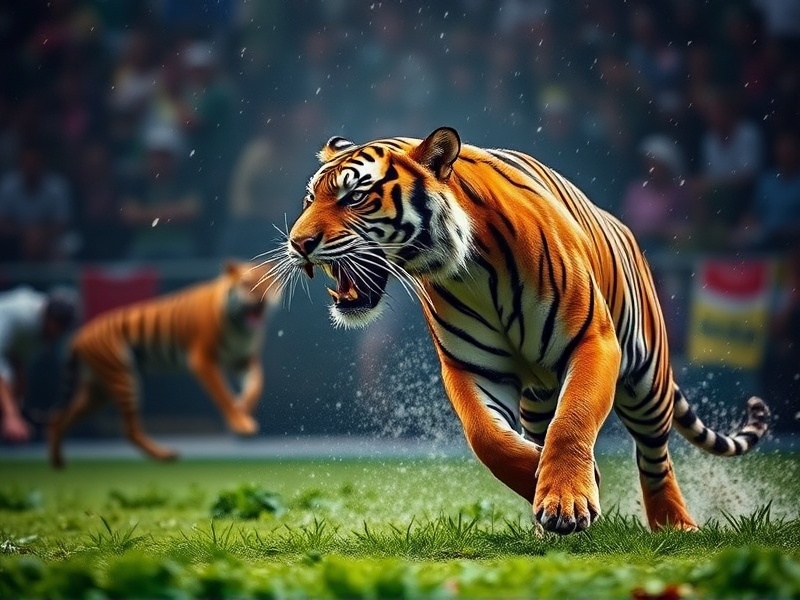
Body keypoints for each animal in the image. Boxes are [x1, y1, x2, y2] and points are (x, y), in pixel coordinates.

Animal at [48, 261, 280, 468]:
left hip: (97, 391)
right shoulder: (202, 360)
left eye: (268, 282)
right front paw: (240, 423)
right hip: (122, 378)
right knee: (128, 430)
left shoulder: (243, 361)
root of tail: (79, 336)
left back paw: (58, 462)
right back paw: (165, 455)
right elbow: (222, 393)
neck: (240, 327)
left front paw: (244, 408)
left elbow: (256, 385)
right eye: (246, 283)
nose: (260, 299)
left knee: (59, 418)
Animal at [277, 127, 770, 534]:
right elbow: (489, 438)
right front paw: (563, 486)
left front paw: (568, 500)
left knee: (654, 457)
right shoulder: (471, 367)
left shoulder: (593, 340)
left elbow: (573, 420)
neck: (467, 269)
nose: (298, 244)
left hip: (646, 382)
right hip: (539, 397)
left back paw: (676, 525)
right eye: (309, 199)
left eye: (354, 197)